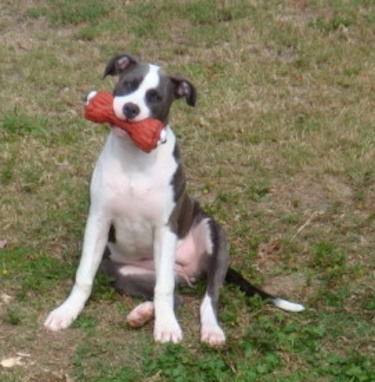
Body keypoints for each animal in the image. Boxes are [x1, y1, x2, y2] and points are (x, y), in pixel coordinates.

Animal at [44, 54, 306, 346]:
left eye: (156, 97)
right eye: (128, 84)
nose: (131, 109)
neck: (135, 156)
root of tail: (187, 271)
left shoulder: (165, 228)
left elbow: (165, 289)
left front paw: (167, 327)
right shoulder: (99, 220)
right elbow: (83, 276)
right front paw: (67, 311)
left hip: (213, 234)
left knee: (206, 296)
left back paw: (210, 329)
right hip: (118, 271)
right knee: (173, 294)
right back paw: (142, 313)